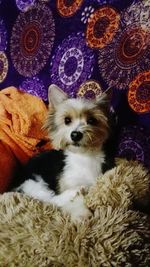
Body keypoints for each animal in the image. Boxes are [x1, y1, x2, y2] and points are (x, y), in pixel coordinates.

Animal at [10, 84, 115, 222]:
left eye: (92, 120)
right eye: (67, 120)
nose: (75, 134)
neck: (82, 156)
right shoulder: (65, 182)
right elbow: (74, 200)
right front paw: (81, 213)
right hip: (32, 182)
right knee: (50, 199)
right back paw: (74, 191)